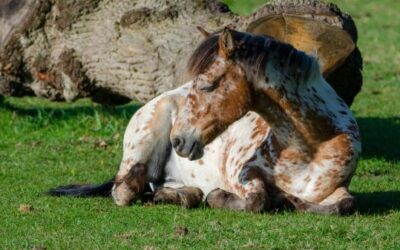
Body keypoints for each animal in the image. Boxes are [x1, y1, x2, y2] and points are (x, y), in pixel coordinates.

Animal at [48, 27, 360, 215]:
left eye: (208, 85)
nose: (178, 140)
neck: (308, 150)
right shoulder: (243, 175)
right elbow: (257, 200)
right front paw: (223, 197)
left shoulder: (337, 188)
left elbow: (344, 204)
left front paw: (290, 200)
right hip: (140, 150)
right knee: (127, 191)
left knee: (161, 189)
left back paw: (182, 195)